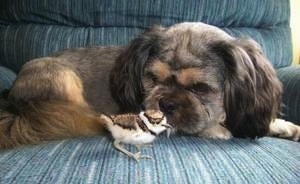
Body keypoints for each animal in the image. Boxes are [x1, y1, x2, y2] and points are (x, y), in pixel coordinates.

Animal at [0, 22, 300, 149]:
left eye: (200, 88)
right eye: (153, 79)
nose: (166, 102)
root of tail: (13, 92)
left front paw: (281, 126)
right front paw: (217, 129)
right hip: (62, 76)